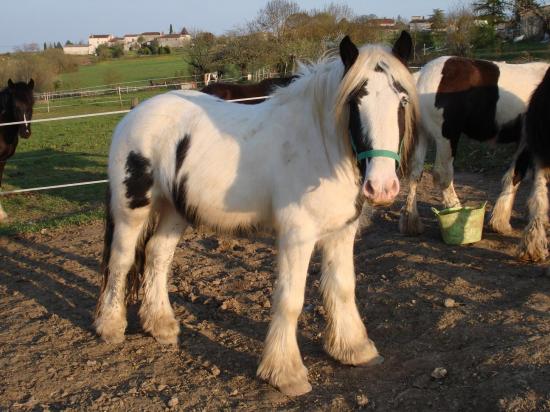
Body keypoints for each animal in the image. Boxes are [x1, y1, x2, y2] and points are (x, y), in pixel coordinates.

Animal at [96, 33, 422, 396]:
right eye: (355, 101)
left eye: (402, 100)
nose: (382, 187)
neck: (319, 145)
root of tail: (135, 114)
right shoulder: (297, 235)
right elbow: (290, 299)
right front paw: (285, 372)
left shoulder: (341, 232)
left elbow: (342, 288)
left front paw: (353, 349)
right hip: (132, 210)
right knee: (121, 262)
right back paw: (111, 327)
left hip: (174, 210)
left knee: (156, 257)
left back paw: (161, 325)